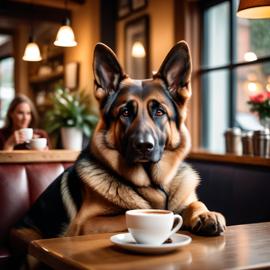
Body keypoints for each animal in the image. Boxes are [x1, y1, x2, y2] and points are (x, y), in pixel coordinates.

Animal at [16, 42, 226, 243]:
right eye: (125, 112)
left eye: (159, 112)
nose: (144, 146)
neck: (154, 185)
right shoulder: (86, 224)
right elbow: (131, 215)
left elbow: (195, 203)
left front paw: (206, 214)